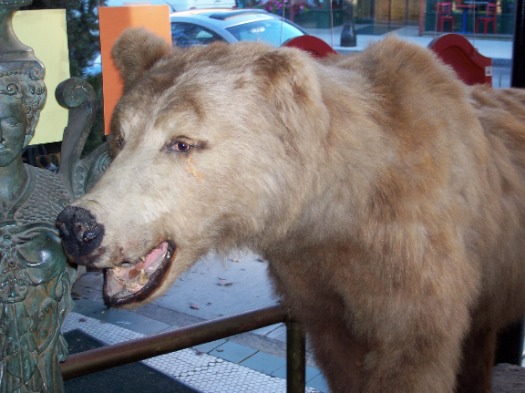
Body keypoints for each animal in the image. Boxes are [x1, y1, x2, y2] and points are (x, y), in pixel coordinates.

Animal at [57, 28, 524, 392]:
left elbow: (414, 353)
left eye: (182, 142)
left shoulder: (413, 270)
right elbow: (339, 353)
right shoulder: (315, 279)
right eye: (119, 137)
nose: (77, 225)